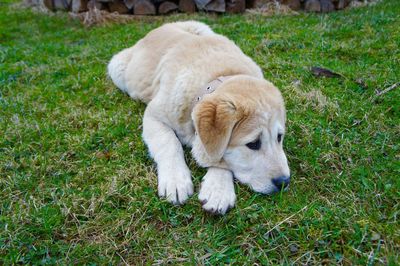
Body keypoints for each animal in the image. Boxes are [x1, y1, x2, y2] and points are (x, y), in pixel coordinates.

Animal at [107, 20, 290, 214]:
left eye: (279, 137)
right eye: (253, 144)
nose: (284, 182)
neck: (215, 78)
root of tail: (161, 27)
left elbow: (219, 157)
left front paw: (218, 190)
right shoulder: (153, 115)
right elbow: (170, 143)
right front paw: (176, 180)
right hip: (117, 68)